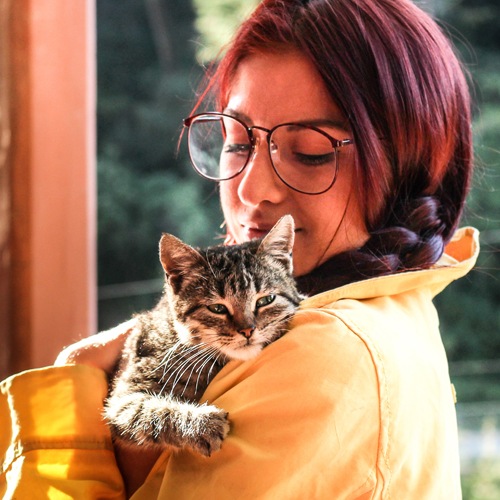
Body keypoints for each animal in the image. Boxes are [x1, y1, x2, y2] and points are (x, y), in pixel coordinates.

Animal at [103, 215, 302, 458]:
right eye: (217, 308)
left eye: (266, 300)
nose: (247, 330)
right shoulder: (123, 398)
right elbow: (154, 412)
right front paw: (200, 424)